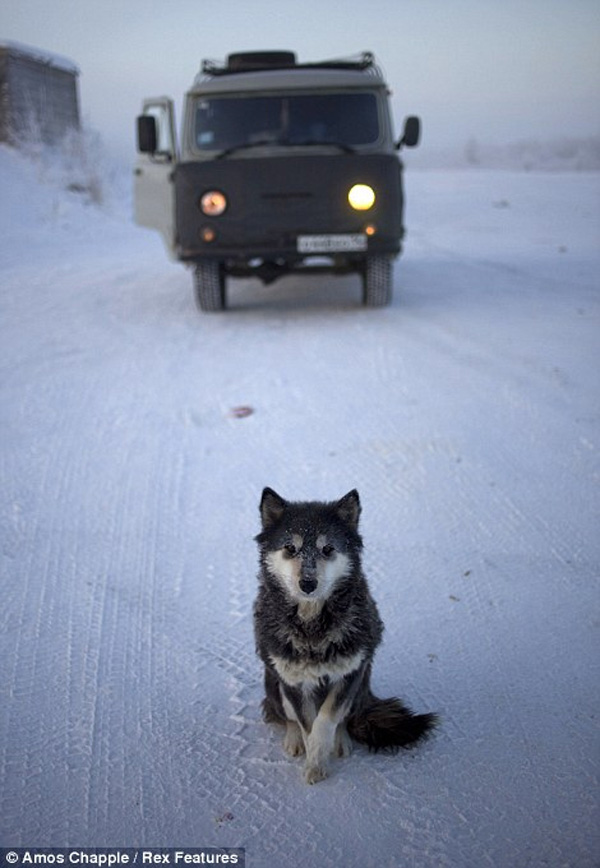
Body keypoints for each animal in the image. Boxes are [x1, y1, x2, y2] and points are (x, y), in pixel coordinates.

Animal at [253, 488, 436, 788]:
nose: (308, 583)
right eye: (290, 548)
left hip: (360, 686)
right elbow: (306, 722)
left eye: (328, 549)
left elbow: (327, 719)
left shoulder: (350, 672)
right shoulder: (293, 680)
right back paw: (293, 739)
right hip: (274, 683)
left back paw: (341, 741)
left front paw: (319, 759)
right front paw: (313, 760)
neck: (312, 627)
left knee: (344, 717)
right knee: (284, 715)